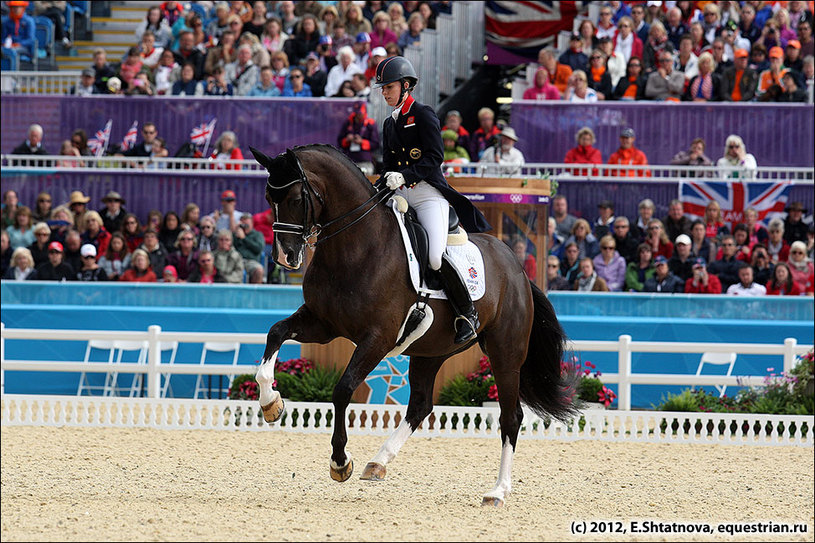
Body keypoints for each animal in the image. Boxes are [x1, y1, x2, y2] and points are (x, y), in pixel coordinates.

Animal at [252, 143, 576, 506]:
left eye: (296, 198)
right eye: (269, 197)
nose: (285, 257)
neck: (356, 246)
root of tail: (517, 269)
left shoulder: (376, 338)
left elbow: (343, 389)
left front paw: (340, 461)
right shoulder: (323, 324)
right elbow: (276, 333)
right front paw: (270, 403)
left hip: (505, 353)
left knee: (511, 417)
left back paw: (497, 491)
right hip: (431, 351)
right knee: (420, 405)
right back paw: (378, 462)